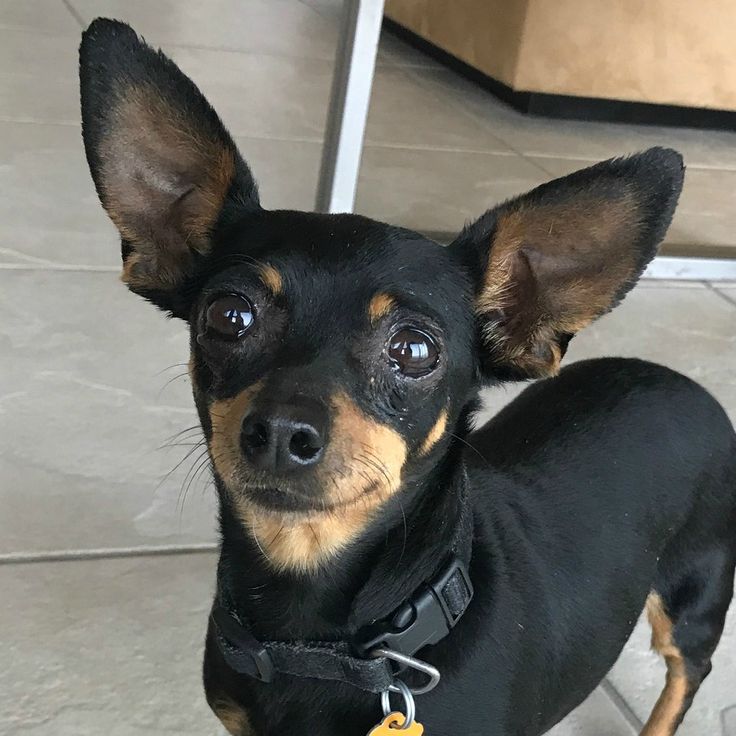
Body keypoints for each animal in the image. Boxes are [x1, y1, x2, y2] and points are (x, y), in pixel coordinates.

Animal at [79, 18, 736, 736]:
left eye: (415, 350)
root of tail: (683, 382)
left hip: (693, 598)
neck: (323, 645)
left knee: (688, 671)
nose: (280, 429)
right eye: (228, 316)